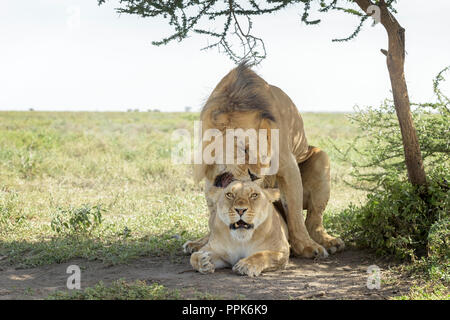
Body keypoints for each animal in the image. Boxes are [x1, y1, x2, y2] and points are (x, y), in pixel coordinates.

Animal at [186, 61, 344, 258]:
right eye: (244, 150)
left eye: (264, 156)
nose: (256, 176)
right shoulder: (212, 180)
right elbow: (215, 215)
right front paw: (210, 242)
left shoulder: (288, 165)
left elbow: (295, 212)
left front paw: (307, 246)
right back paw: (198, 243)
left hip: (322, 159)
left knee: (313, 220)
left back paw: (329, 242)